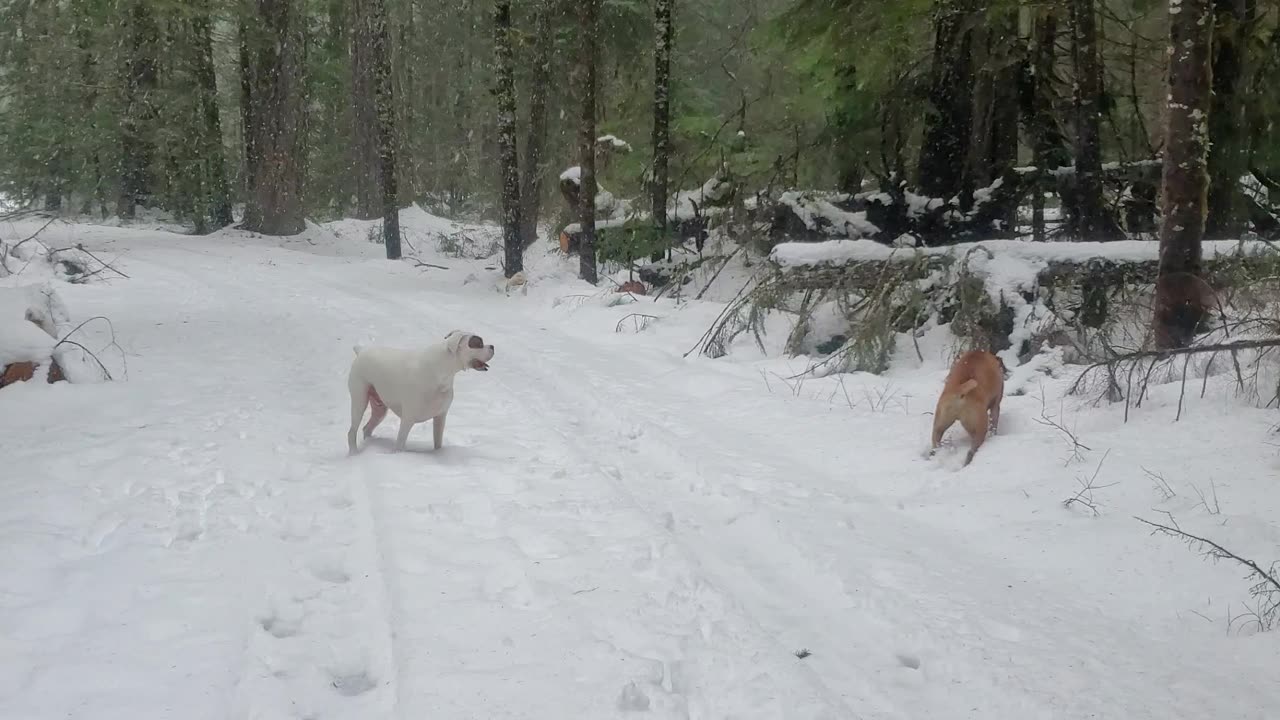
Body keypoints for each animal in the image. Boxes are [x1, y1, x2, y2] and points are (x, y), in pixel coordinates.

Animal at [345, 327, 494, 450]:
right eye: (478, 343)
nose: (492, 346)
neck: (441, 371)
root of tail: (361, 351)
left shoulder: (440, 417)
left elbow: (438, 443)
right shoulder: (407, 419)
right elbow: (400, 445)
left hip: (379, 408)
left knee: (367, 428)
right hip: (359, 401)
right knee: (351, 432)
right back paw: (354, 454)